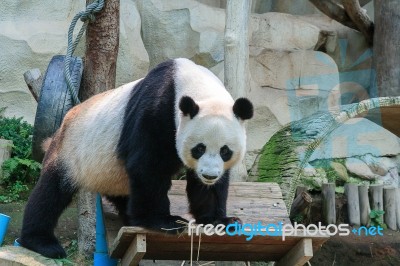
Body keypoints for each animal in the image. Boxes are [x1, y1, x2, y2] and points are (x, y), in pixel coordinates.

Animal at [19, 57, 253, 258]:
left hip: (110, 171)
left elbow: (208, 189)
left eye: (225, 151)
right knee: (50, 192)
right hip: (71, 151)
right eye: (199, 148)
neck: (194, 84)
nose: (209, 175)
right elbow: (148, 165)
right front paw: (165, 222)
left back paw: (130, 214)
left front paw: (220, 220)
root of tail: (63, 124)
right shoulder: (158, 109)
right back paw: (41, 242)